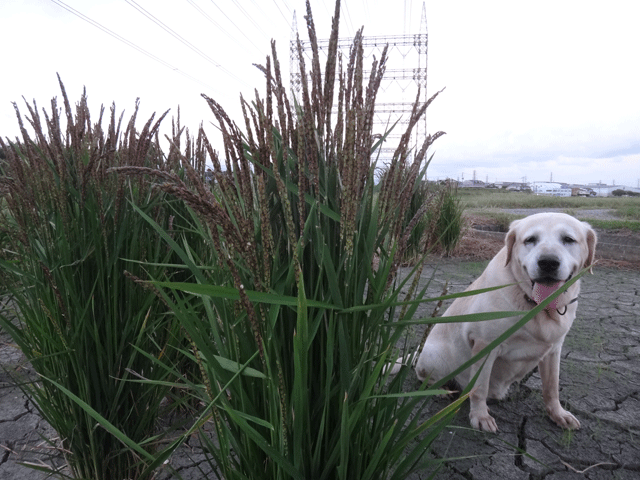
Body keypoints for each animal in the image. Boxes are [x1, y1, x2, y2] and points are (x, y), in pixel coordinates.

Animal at [410, 213, 596, 432]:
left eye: (568, 239)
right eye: (530, 240)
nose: (548, 262)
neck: (537, 307)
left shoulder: (554, 350)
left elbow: (551, 388)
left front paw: (558, 414)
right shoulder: (485, 346)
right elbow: (479, 388)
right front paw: (480, 416)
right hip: (434, 355)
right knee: (426, 377)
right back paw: (441, 389)